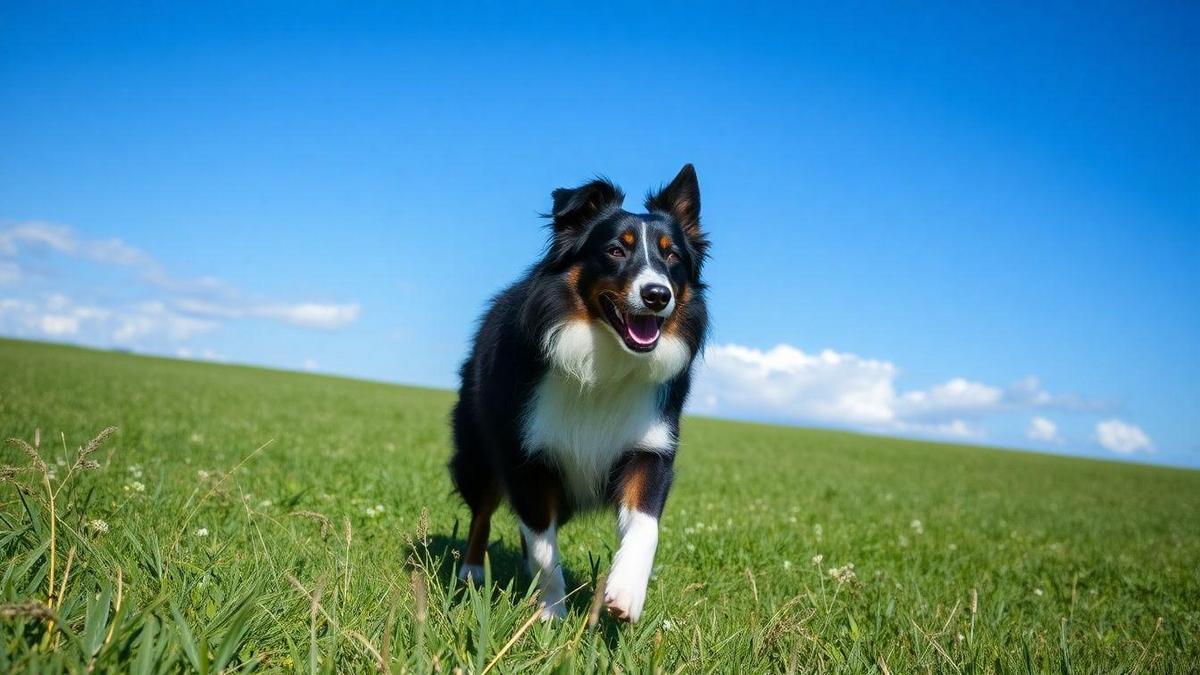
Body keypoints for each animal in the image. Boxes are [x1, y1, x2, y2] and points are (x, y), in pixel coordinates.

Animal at [451, 163, 710, 619]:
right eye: (616, 250)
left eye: (672, 256)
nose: (657, 294)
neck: (603, 359)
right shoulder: (527, 457)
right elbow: (544, 547)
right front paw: (551, 612)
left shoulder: (649, 449)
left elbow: (646, 527)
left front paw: (626, 592)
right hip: (479, 449)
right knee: (483, 508)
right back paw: (472, 570)